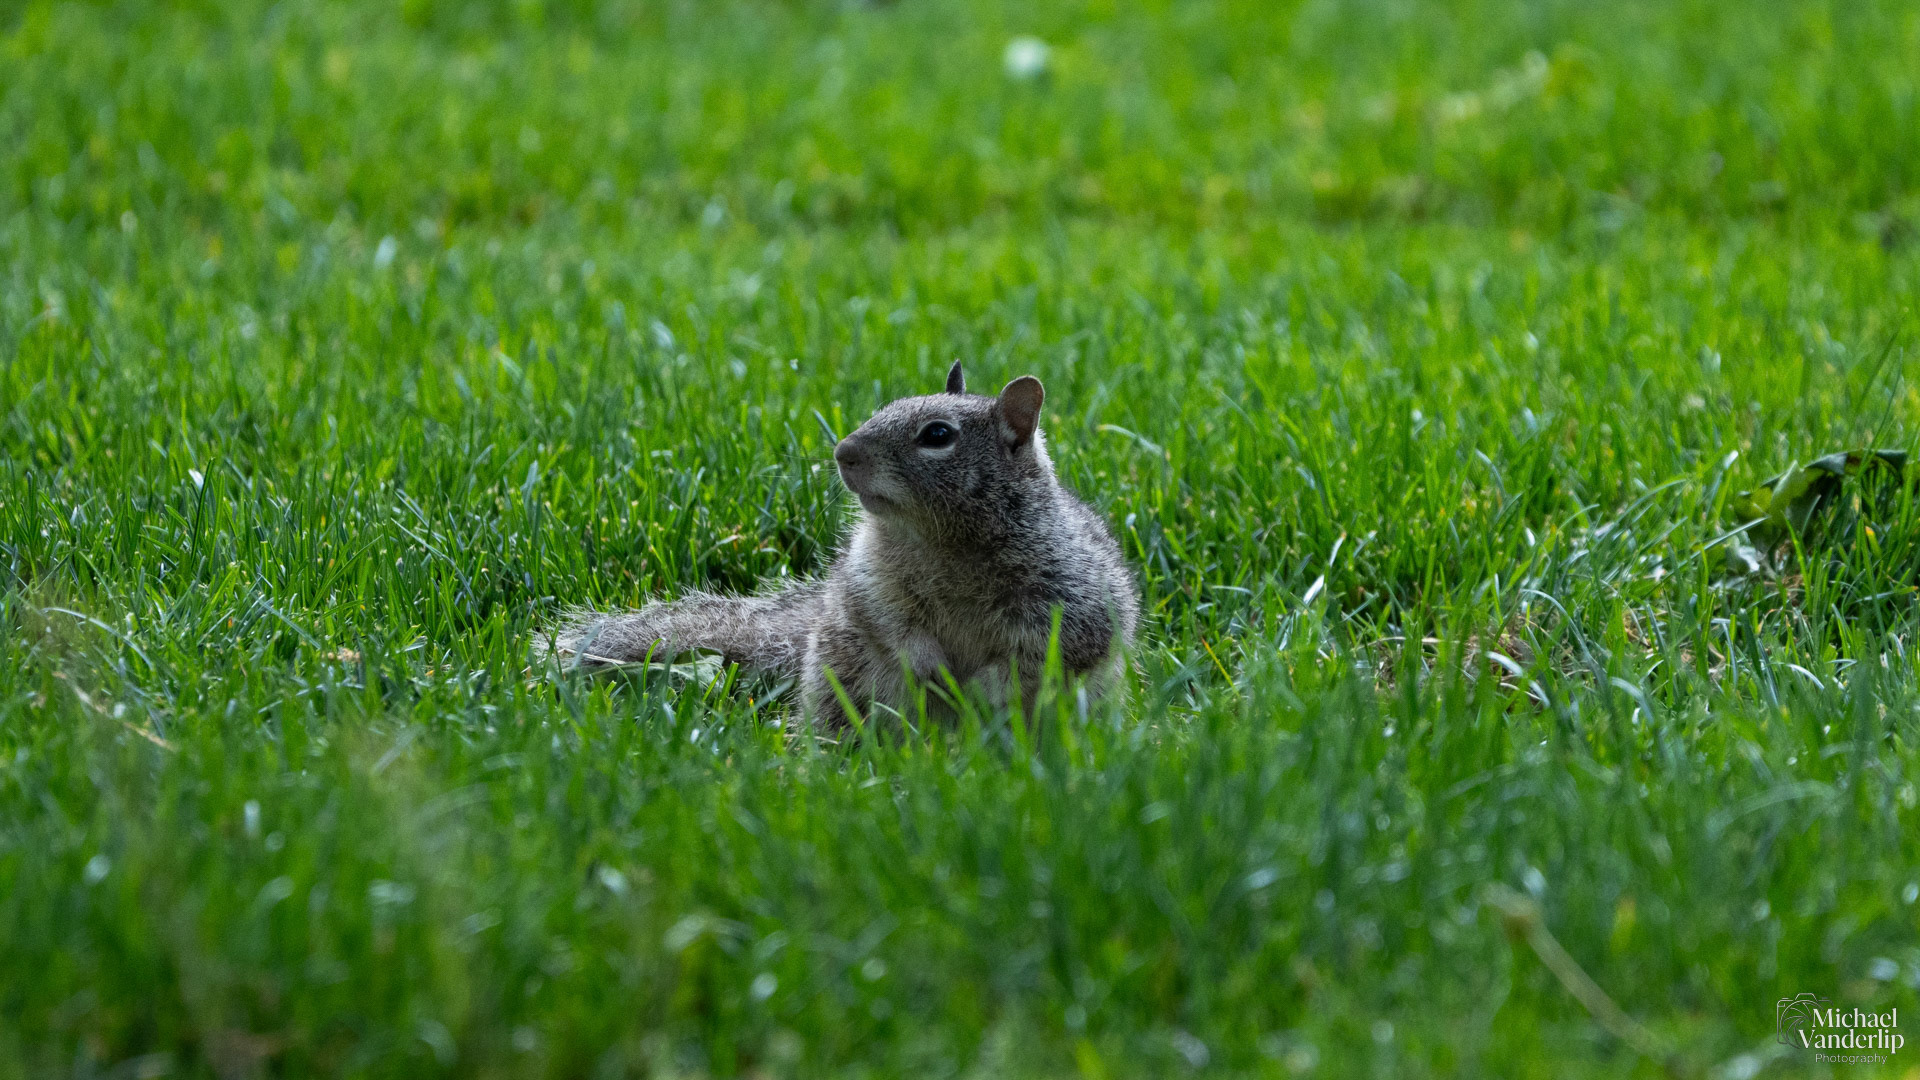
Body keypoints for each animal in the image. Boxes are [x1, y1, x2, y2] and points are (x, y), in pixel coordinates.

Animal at [548, 361, 1140, 727]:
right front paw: (928, 670)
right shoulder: (870, 581)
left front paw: (983, 689)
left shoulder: (1066, 595)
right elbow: (891, 625)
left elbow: (1046, 650)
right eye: (886, 406)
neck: (940, 539)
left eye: (938, 435)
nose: (843, 452)